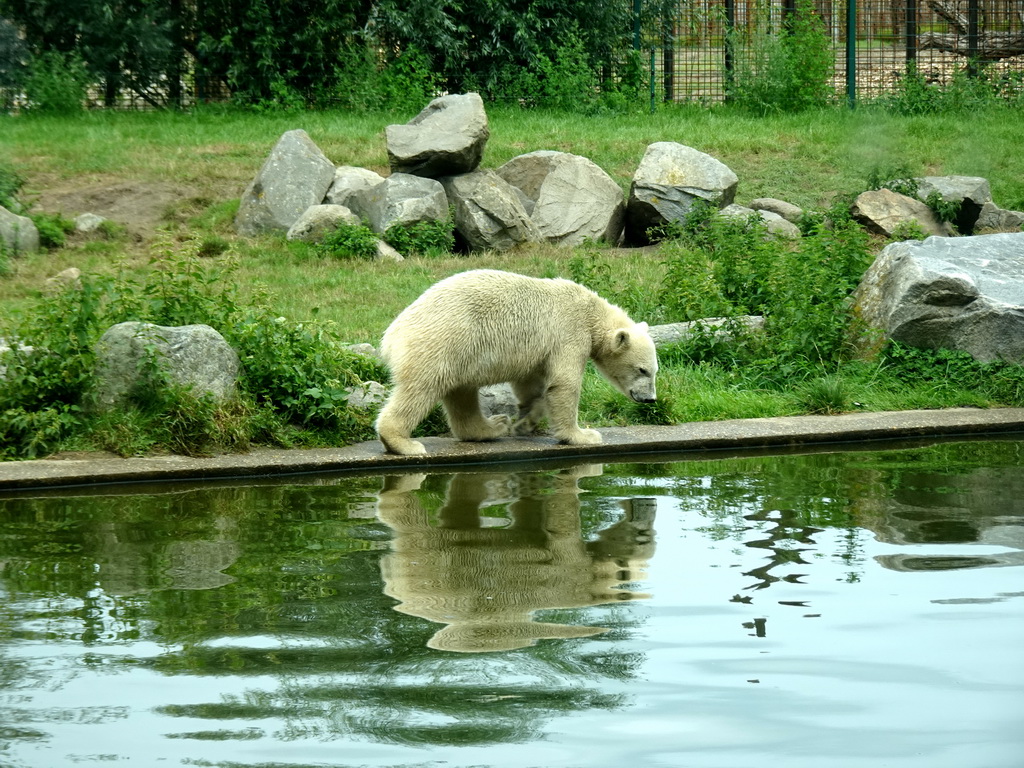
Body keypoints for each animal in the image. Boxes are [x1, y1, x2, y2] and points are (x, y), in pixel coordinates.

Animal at [376, 268, 655, 456]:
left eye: (654, 371)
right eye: (642, 370)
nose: (650, 399)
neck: (591, 312)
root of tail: (391, 335)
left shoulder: (537, 350)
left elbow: (530, 384)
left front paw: (525, 422)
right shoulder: (569, 332)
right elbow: (564, 384)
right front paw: (583, 435)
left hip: (461, 351)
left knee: (461, 392)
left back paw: (492, 426)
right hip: (442, 342)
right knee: (421, 389)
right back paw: (403, 443)